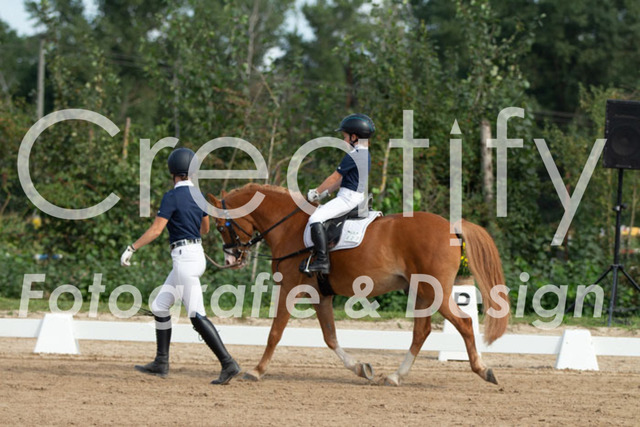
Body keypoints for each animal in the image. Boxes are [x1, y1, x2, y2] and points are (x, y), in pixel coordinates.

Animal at [206, 184, 509, 386]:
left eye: (221, 225)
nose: (231, 259)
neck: (289, 227)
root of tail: (451, 227)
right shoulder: (321, 296)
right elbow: (330, 337)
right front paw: (361, 368)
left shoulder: (290, 289)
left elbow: (275, 332)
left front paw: (256, 370)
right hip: (422, 292)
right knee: (421, 331)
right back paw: (395, 376)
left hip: (435, 292)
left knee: (464, 324)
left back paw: (483, 370)